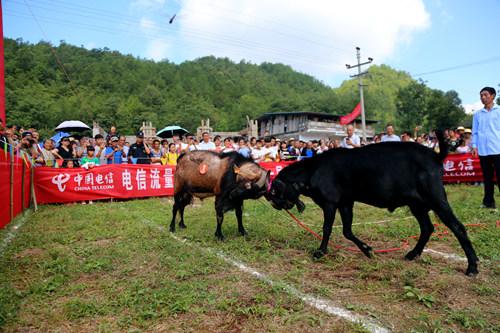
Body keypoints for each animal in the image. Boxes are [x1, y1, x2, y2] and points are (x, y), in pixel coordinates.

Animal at [268, 132, 478, 274]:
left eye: (274, 190)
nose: (272, 202)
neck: (313, 170)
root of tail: (436, 155)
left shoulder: (330, 202)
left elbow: (327, 228)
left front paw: (320, 252)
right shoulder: (346, 203)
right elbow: (347, 231)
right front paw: (367, 250)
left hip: (436, 198)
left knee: (458, 227)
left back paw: (472, 266)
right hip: (416, 204)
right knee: (427, 228)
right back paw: (412, 254)